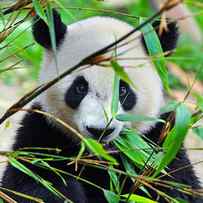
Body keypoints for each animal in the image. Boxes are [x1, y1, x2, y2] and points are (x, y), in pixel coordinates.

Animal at [0, 9, 202, 203]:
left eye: (123, 90)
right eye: (80, 88)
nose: (100, 131)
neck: (100, 156)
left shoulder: (158, 143)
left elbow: (176, 186)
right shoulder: (42, 132)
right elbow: (33, 182)